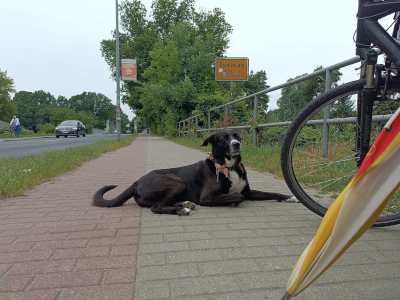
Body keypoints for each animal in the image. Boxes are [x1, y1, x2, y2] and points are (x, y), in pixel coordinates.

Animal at [92, 130, 296, 214]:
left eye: (237, 136)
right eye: (224, 138)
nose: (237, 144)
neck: (229, 167)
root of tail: (135, 182)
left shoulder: (248, 191)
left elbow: (272, 193)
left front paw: (290, 197)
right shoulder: (207, 197)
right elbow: (237, 197)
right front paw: (230, 201)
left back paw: (185, 203)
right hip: (176, 181)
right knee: (156, 207)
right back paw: (181, 209)